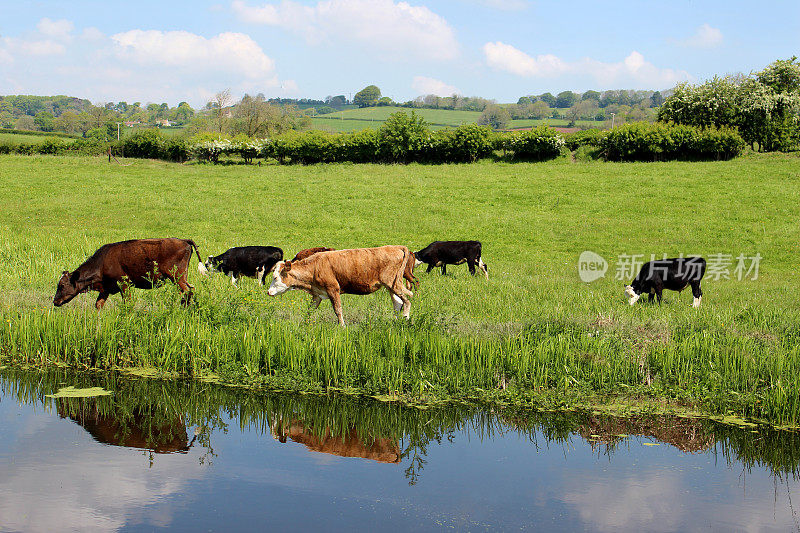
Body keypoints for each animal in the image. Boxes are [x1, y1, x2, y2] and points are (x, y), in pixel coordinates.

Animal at [54, 237, 203, 308]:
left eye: (62, 285)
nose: (55, 301)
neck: (101, 263)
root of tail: (183, 241)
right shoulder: (106, 289)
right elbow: (98, 304)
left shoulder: (124, 284)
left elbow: (127, 303)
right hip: (182, 277)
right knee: (188, 291)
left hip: (177, 277)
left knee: (188, 291)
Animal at [268, 244, 412, 326]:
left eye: (275, 277)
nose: (268, 292)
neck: (315, 267)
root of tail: (396, 247)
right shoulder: (317, 294)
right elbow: (310, 310)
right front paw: (305, 324)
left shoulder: (333, 289)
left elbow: (338, 310)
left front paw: (342, 326)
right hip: (391, 286)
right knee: (397, 303)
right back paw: (394, 320)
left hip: (393, 284)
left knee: (407, 301)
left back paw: (405, 317)